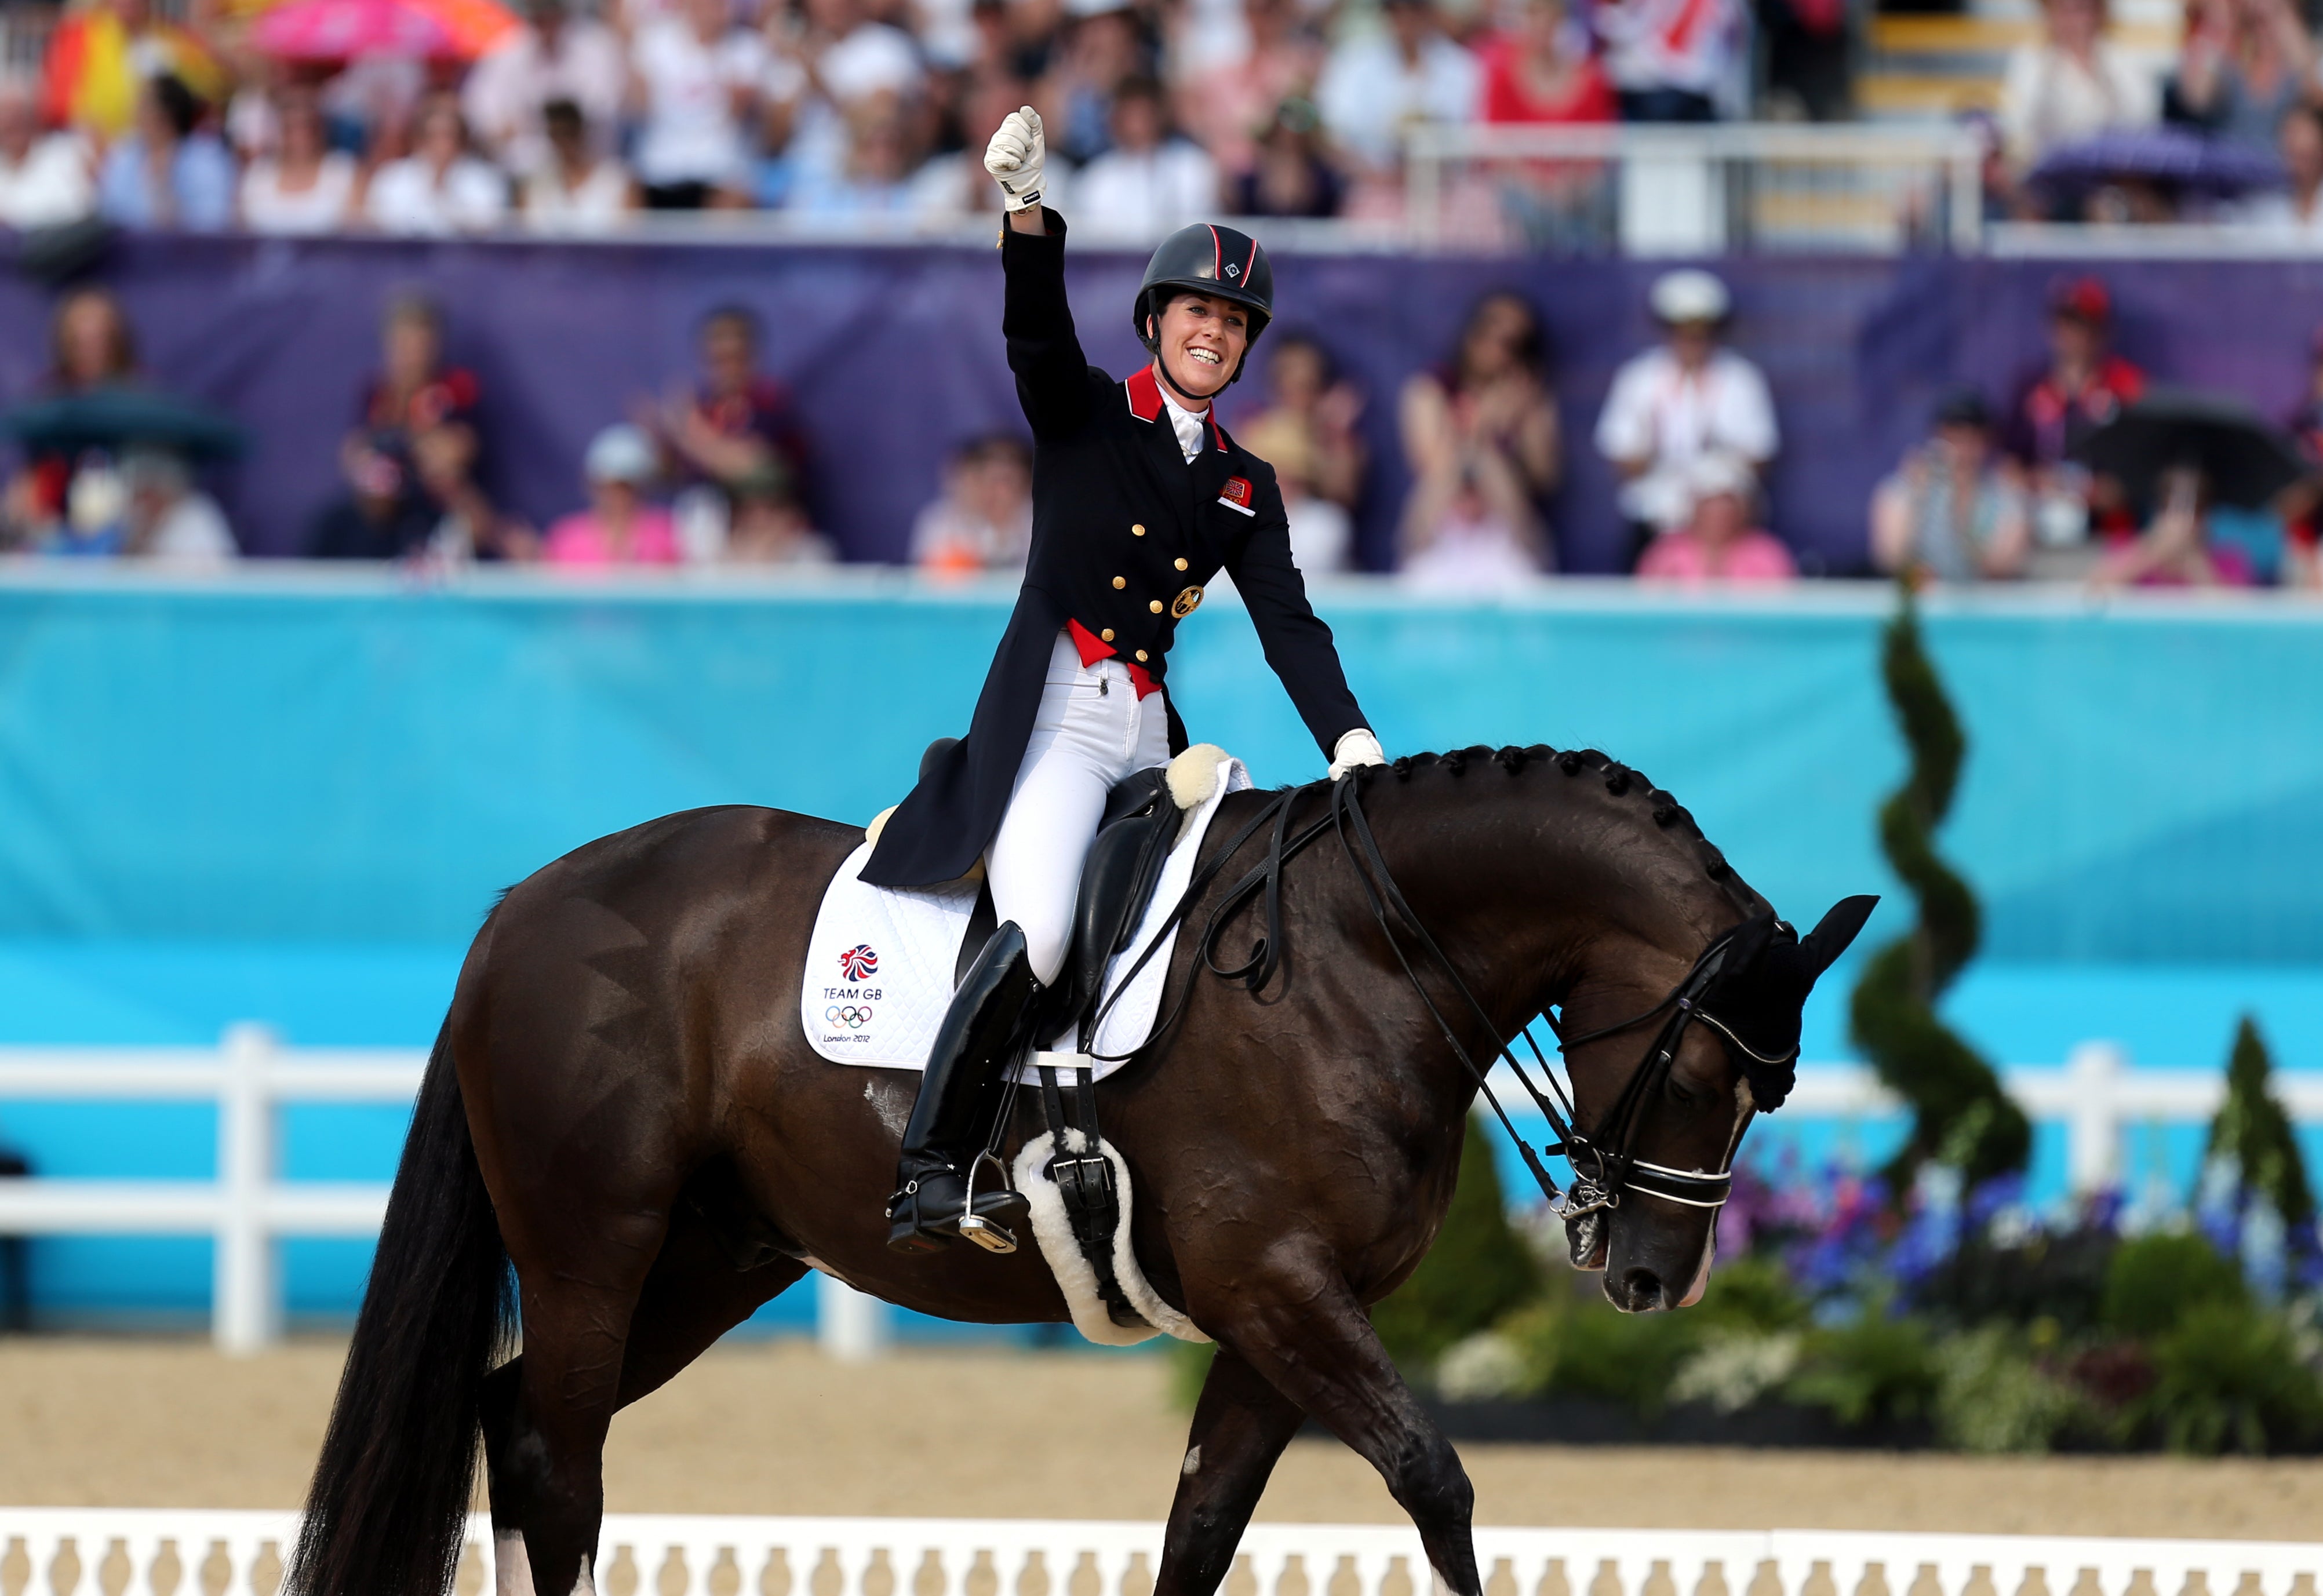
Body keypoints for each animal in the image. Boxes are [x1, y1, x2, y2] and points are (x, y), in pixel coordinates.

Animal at [285, 743, 1867, 1596]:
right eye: (1709, 1075)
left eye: (1772, 1093)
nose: (1656, 1278)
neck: (1361, 955)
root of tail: (526, 904)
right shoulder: (1276, 1286)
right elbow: (1437, 1483)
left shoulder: (1281, 1317)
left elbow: (1202, 1526)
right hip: (589, 1250)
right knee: (558, 1465)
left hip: (710, 1260)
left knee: (515, 1428)